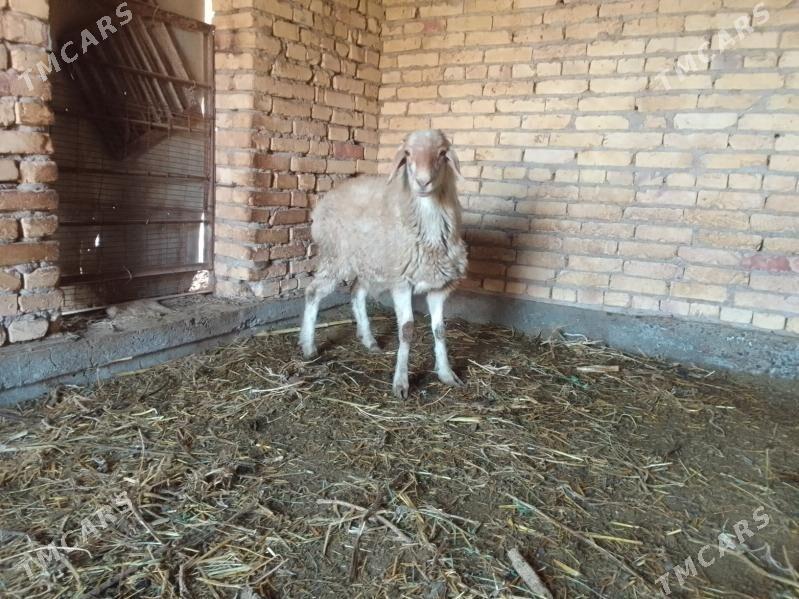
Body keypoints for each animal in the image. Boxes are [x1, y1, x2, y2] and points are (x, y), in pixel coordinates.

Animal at [299, 129, 468, 399]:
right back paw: (308, 346)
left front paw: (446, 374)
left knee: (356, 292)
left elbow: (440, 330)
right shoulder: (401, 283)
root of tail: (327, 198)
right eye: (407, 153)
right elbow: (407, 330)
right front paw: (401, 382)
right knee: (314, 292)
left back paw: (369, 341)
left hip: (369, 262)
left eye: (442, 153)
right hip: (337, 257)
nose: (422, 182)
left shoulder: (439, 286)